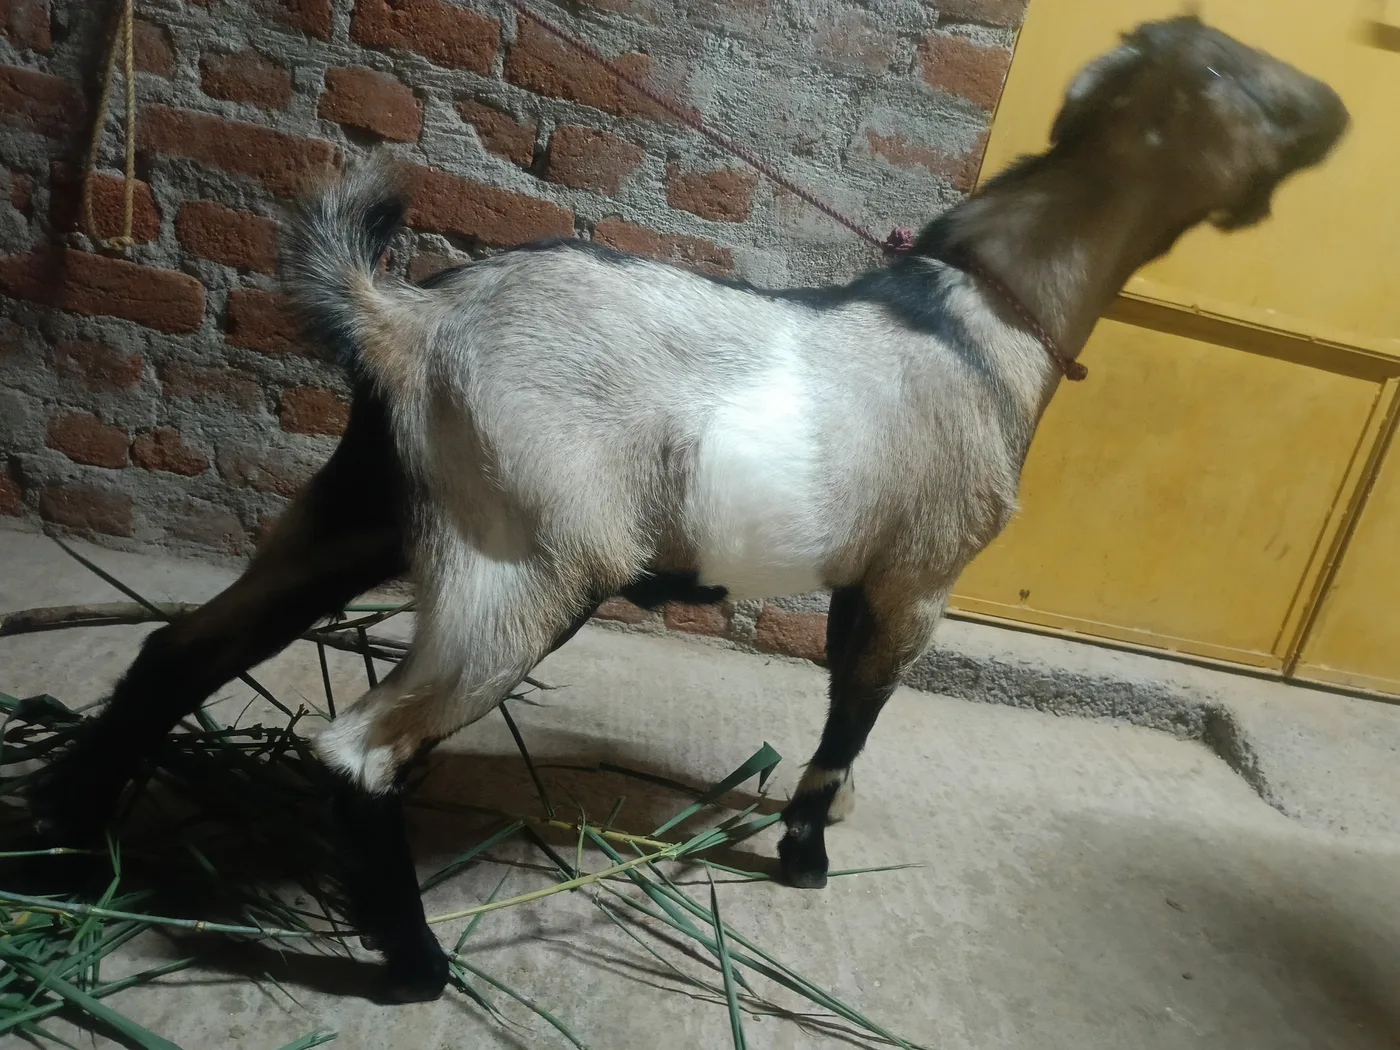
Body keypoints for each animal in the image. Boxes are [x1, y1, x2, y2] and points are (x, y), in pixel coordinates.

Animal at [30, 16, 1347, 1004]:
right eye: (1253, 87)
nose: (1334, 111)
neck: (979, 315)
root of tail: (407, 320)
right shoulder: (916, 580)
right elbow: (850, 722)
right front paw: (806, 861)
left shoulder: (859, 574)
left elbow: (835, 705)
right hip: (522, 562)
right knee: (360, 747)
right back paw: (412, 968)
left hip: (350, 514)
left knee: (179, 648)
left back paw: (74, 845)